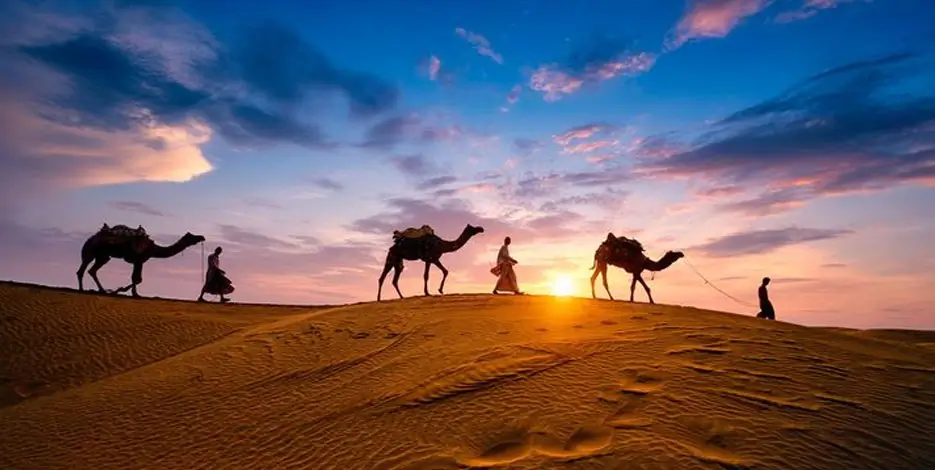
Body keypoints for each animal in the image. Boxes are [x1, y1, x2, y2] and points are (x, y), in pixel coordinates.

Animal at [76, 224, 205, 298]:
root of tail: (90, 239)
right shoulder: (139, 260)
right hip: (93, 252)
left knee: (89, 270)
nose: (202, 237)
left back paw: (99, 290)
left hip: (101, 256)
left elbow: (137, 278)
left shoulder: (138, 261)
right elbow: (137, 278)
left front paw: (124, 291)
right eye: (192, 236)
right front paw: (128, 292)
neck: (154, 249)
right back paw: (86, 289)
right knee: (85, 269)